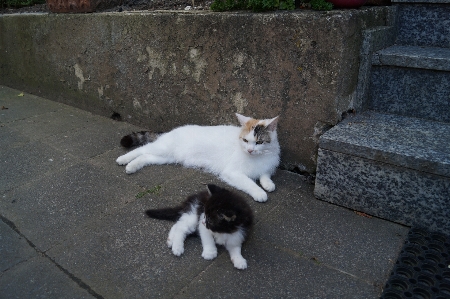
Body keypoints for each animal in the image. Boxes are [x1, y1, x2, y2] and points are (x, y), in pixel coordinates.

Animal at [117, 113, 278, 203]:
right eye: (245, 140)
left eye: (259, 142)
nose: (250, 150)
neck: (258, 158)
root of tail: (169, 132)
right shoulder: (232, 172)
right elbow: (249, 183)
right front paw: (260, 192)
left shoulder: (268, 166)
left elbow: (265, 175)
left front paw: (268, 184)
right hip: (163, 149)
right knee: (142, 149)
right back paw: (124, 160)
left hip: (166, 157)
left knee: (146, 156)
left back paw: (132, 166)